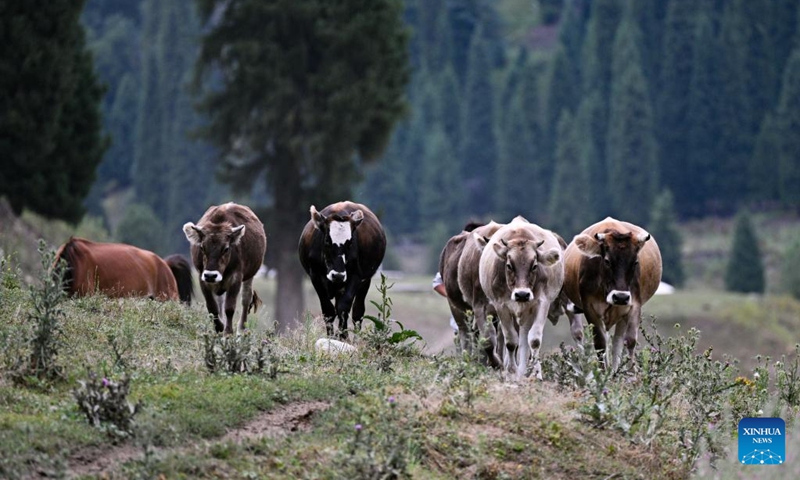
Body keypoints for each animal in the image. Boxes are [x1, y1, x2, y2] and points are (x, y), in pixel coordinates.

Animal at [183, 203, 267, 334]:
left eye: (226, 249)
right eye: (202, 247)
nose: (211, 275)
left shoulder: (236, 278)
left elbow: (230, 307)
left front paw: (228, 332)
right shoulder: (202, 278)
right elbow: (212, 307)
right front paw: (219, 327)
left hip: (250, 274)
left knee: (246, 298)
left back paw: (241, 329)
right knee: (220, 300)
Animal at [298, 201, 386, 339]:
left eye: (350, 243)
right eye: (327, 240)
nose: (337, 275)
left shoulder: (356, 276)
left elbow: (344, 308)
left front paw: (343, 337)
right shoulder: (315, 276)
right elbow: (328, 311)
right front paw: (331, 337)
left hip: (365, 282)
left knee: (357, 312)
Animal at [478, 217, 565, 381]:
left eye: (534, 265)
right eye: (509, 265)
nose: (522, 294)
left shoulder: (542, 302)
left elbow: (534, 340)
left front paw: (536, 374)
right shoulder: (501, 305)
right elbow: (511, 341)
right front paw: (511, 372)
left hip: (527, 311)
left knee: (525, 337)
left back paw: (524, 370)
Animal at [563, 217, 662, 371]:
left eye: (635, 262)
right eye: (607, 261)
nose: (620, 297)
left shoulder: (634, 304)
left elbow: (630, 341)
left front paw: (632, 371)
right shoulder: (589, 308)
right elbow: (600, 343)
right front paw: (602, 372)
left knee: (618, 341)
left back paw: (615, 370)